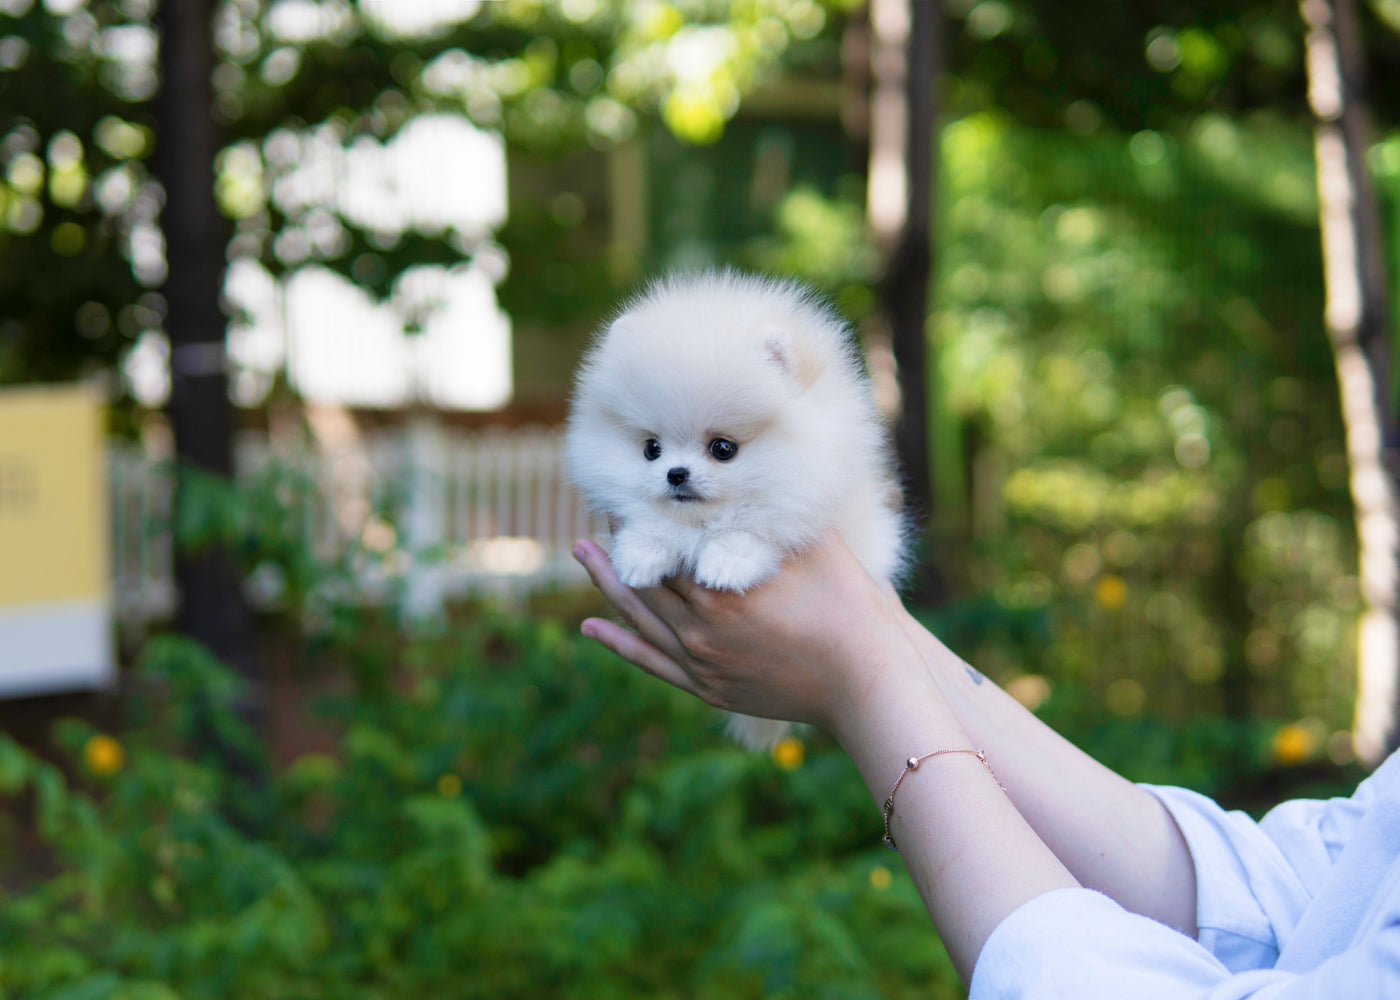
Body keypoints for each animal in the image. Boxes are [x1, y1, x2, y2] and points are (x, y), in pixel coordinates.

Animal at [562, 268, 912, 745]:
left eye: (723, 449)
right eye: (652, 449)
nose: (676, 474)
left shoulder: (805, 503)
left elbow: (755, 527)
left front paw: (726, 563)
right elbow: (652, 520)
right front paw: (641, 555)